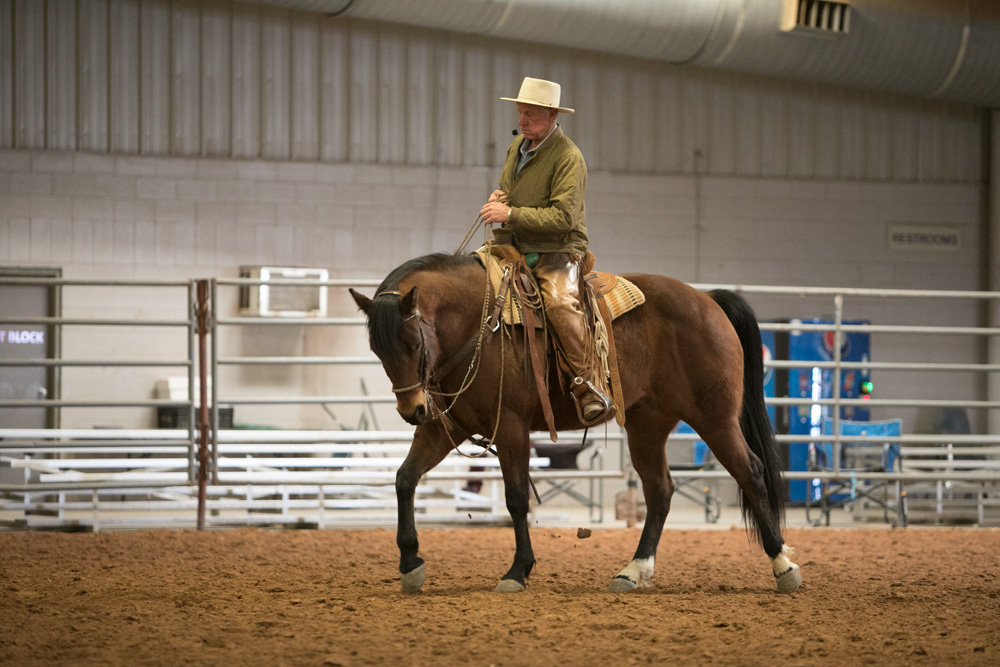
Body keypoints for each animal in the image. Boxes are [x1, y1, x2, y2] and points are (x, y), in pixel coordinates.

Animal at [348, 254, 800, 596]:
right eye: (377, 348)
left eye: (414, 343)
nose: (411, 410)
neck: (477, 325)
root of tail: (706, 299)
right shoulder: (445, 429)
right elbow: (405, 479)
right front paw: (411, 563)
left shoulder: (511, 428)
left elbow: (516, 498)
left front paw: (517, 571)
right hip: (648, 424)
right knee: (660, 491)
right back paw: (633, 570)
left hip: (715, 417)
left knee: (751, 473)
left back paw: (783, 565)